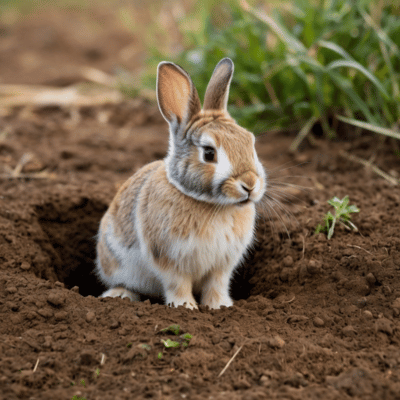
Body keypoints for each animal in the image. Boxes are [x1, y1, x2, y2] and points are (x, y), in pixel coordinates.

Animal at [95, 57, 268, 310]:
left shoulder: (222, 265)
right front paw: (185, 307)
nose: (250, 184)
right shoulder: (170, 259)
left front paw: (220, 307)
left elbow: (216, 285)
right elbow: (178, 284)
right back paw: (120, 295)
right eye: (209, 153)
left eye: (250, 142)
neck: (211, 204)